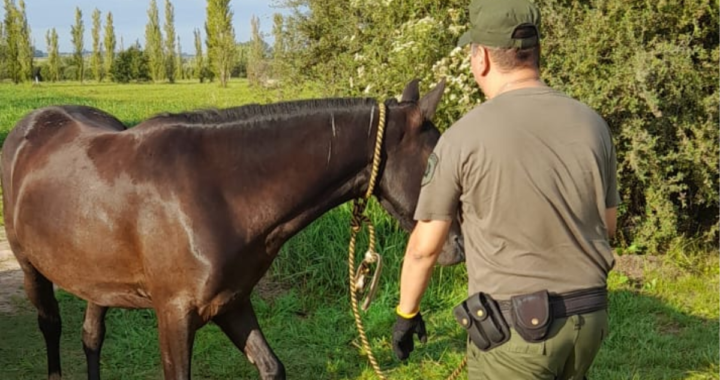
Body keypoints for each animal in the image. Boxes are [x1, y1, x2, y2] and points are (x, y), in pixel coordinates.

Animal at [1, 78, 462, 378]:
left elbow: (272, 367)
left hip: (97, 279)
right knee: (52, 327)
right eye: (434, 163)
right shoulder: (174, 315)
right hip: (31, 268)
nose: (457, 246)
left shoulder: (233, 303)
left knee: (91, 336)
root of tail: (29, 126)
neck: (217, 192)